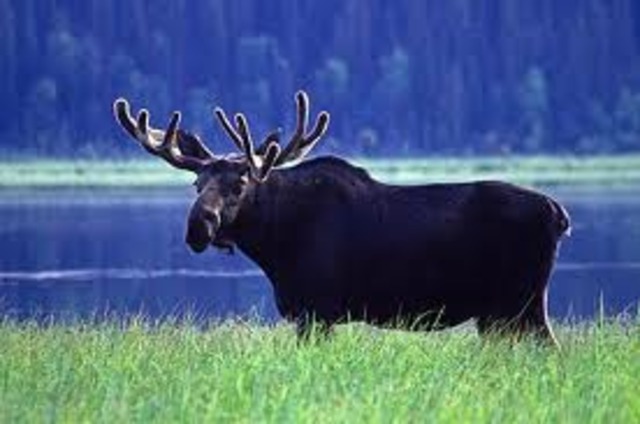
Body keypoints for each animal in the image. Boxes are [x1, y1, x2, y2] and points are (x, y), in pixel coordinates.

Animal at [113, 91, 571, 345]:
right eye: (196, 184)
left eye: (239, 184)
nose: (198, 227)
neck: (275, 245)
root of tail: (559, 214)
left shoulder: (317, 310)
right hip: (502, 312)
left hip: (520, 303)